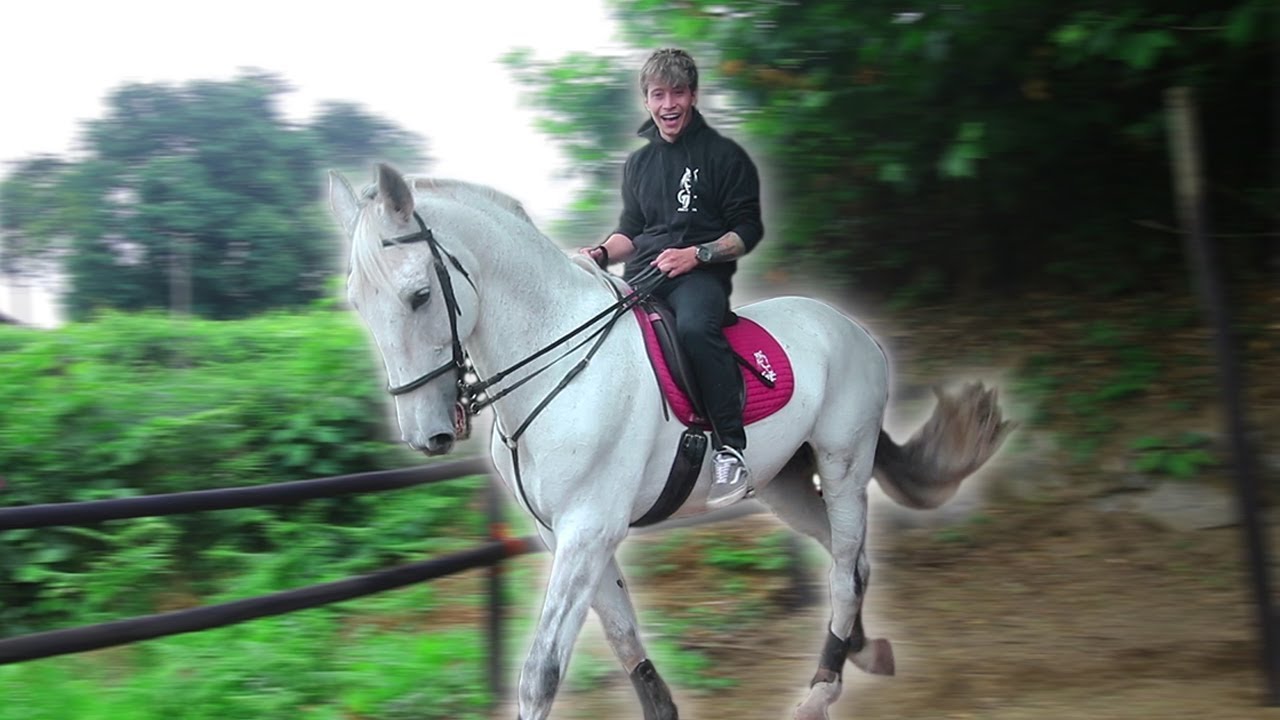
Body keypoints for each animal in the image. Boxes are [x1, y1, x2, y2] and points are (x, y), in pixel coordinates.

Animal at [328, 163, 1013, 720]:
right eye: (357, 303)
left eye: (419, 296)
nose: (427, 435)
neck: (555, 362)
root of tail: (855, 329)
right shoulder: (565, 535)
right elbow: (625, 638)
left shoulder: (588, 529)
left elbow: (540, 674)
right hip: (786, 483)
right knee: (852, 560)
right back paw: (863, 654)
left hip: (844, 464)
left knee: (846, 568)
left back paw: (821, 690)